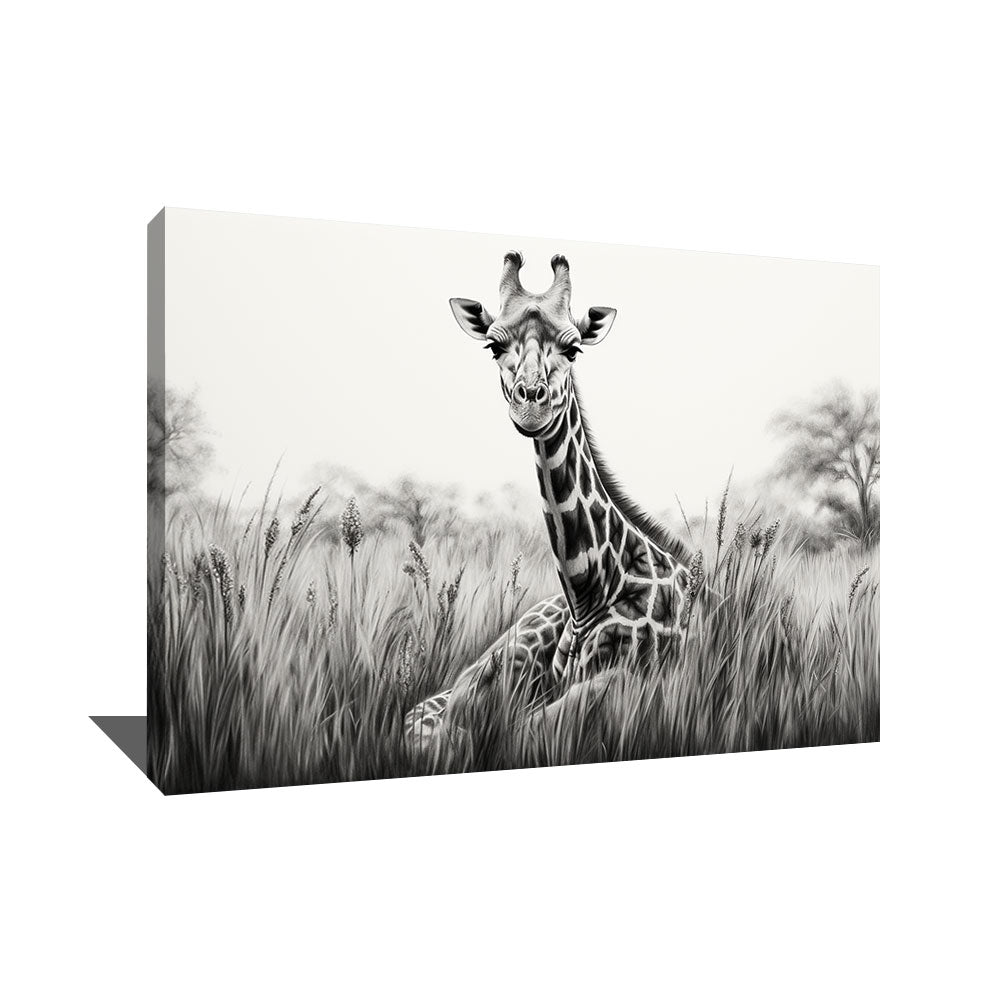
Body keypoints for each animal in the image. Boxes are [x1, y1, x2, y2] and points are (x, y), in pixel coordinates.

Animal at [403, 251, 694, 757]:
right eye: (493, 346)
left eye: (573, 349)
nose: (531, 407)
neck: (588, 594)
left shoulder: (631, 680)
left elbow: (520, 733)